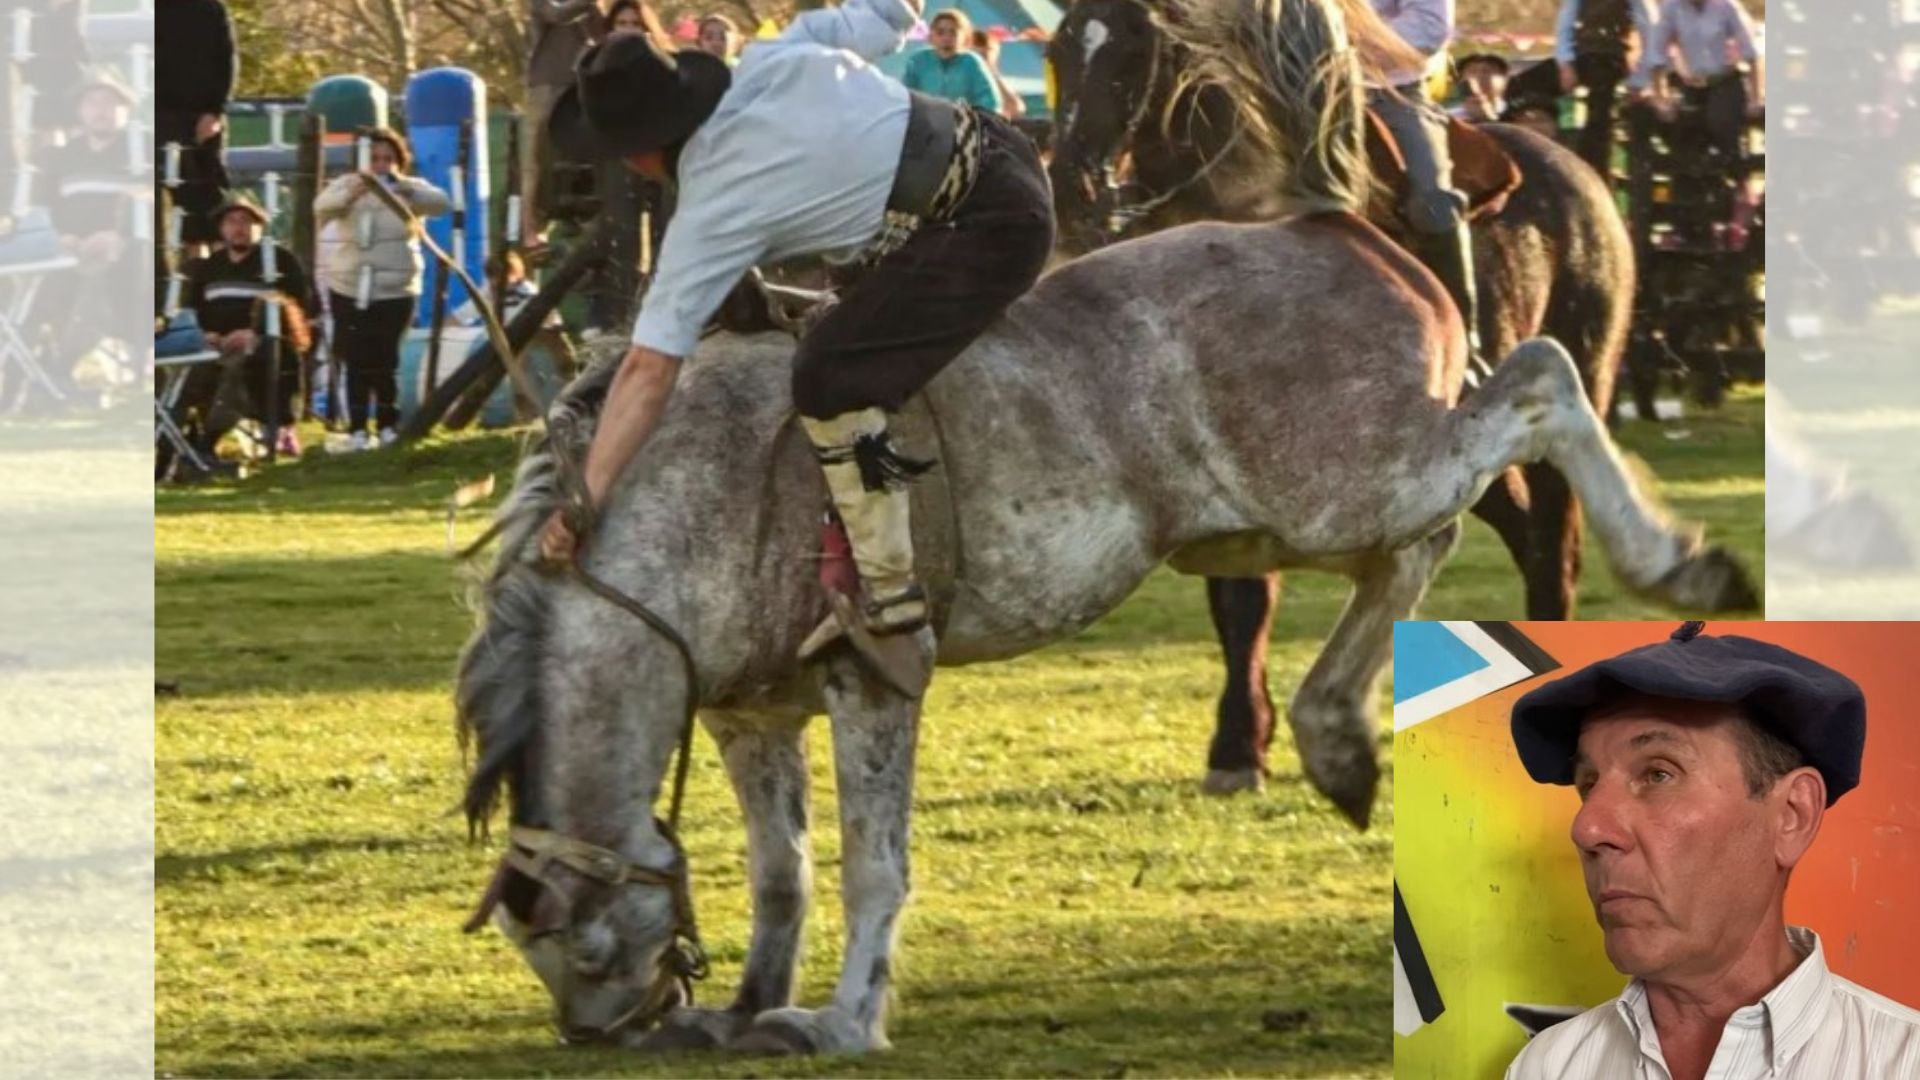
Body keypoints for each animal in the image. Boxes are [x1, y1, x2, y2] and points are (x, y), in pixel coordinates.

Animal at [1046, 0, 1648, 791]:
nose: (1071, 188)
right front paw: (1239, 742)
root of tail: (1582, 172)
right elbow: (1238, 593)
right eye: (1059, 51)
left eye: (1130, 53)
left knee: (1553, 542)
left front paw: (1241, 744)